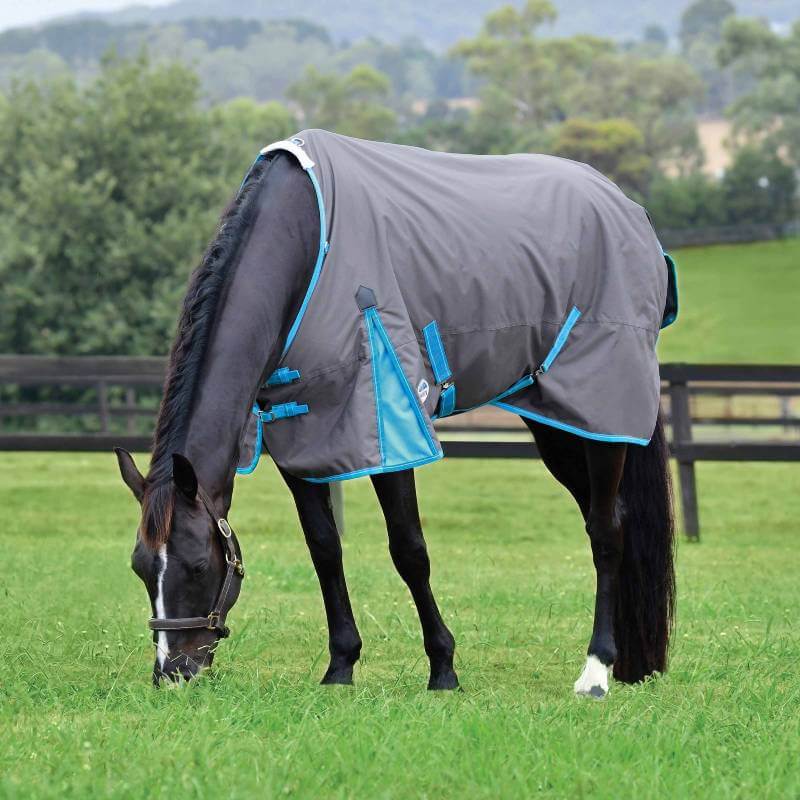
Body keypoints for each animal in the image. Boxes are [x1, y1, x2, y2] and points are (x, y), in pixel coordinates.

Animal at [115, 130, 675, 697]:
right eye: (140, 569)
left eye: (196, 565)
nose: (173, 674)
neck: (306, 245)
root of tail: (627, 207)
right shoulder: (299, 436)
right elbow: (325, 549)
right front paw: (341, 666)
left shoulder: (390, 417)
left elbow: (409, 550)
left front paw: (443, 668)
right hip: (557, 421)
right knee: (606, 517)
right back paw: (629, 662)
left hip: (601, 413)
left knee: (606, 530)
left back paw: (597, 670)